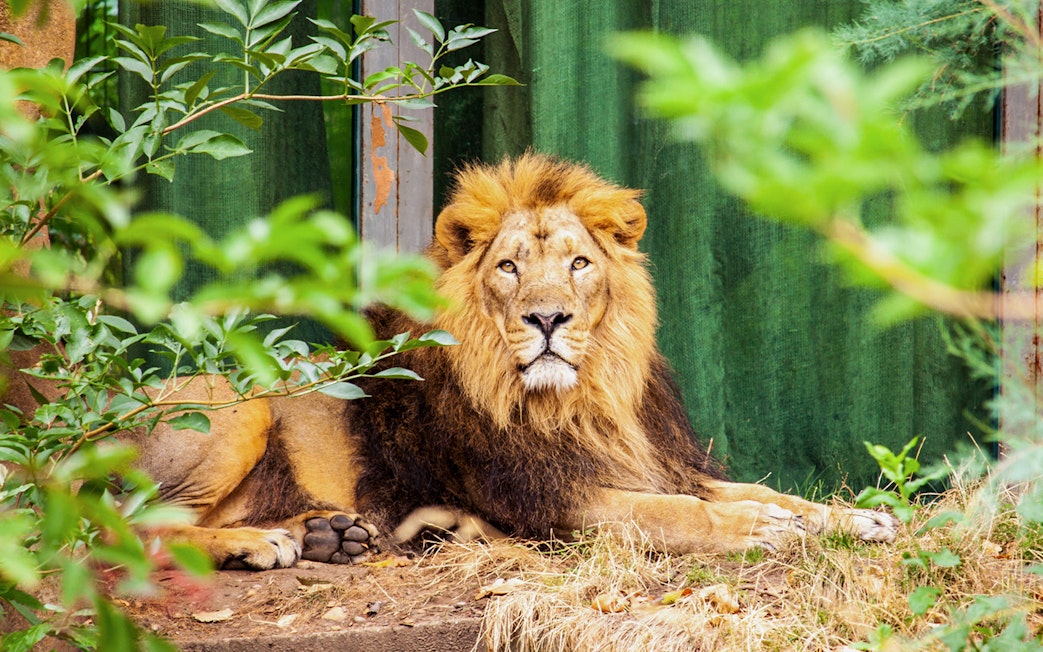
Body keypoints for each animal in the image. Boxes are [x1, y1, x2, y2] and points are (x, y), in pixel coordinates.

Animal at [123, 154, 898, 570]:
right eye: (508, 267)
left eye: (579, 264)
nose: (547, 318)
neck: (581, 400)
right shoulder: (550, 500)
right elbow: (675, 515)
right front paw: (757, 530)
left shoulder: (653, 462)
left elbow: (761, 492)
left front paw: (855, 518)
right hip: (231, 400)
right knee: (130, 529)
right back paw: (256, 545)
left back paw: (325, 534)